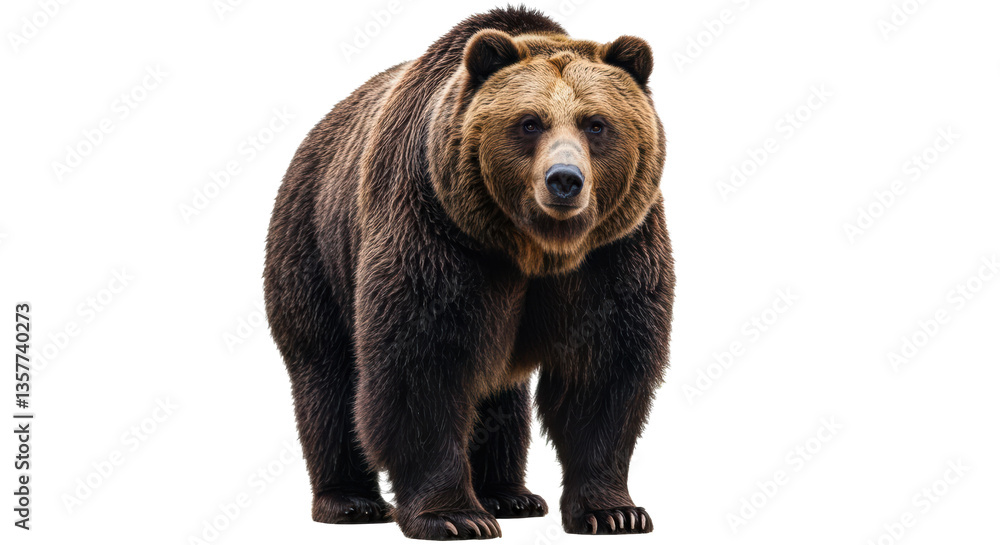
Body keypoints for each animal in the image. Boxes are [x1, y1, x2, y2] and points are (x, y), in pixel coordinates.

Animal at [264, 5, 674, 540]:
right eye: (529, 122)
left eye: (596, 124)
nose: (564, 180)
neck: (536, 247)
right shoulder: (438, 231)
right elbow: (423, 366)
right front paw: (455, 515)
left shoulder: (613, 250)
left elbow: (602, 370)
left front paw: (615, 512)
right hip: (315, 246)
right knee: (327, 375)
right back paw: (350, 500)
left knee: (501, 394)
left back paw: (510, 494)